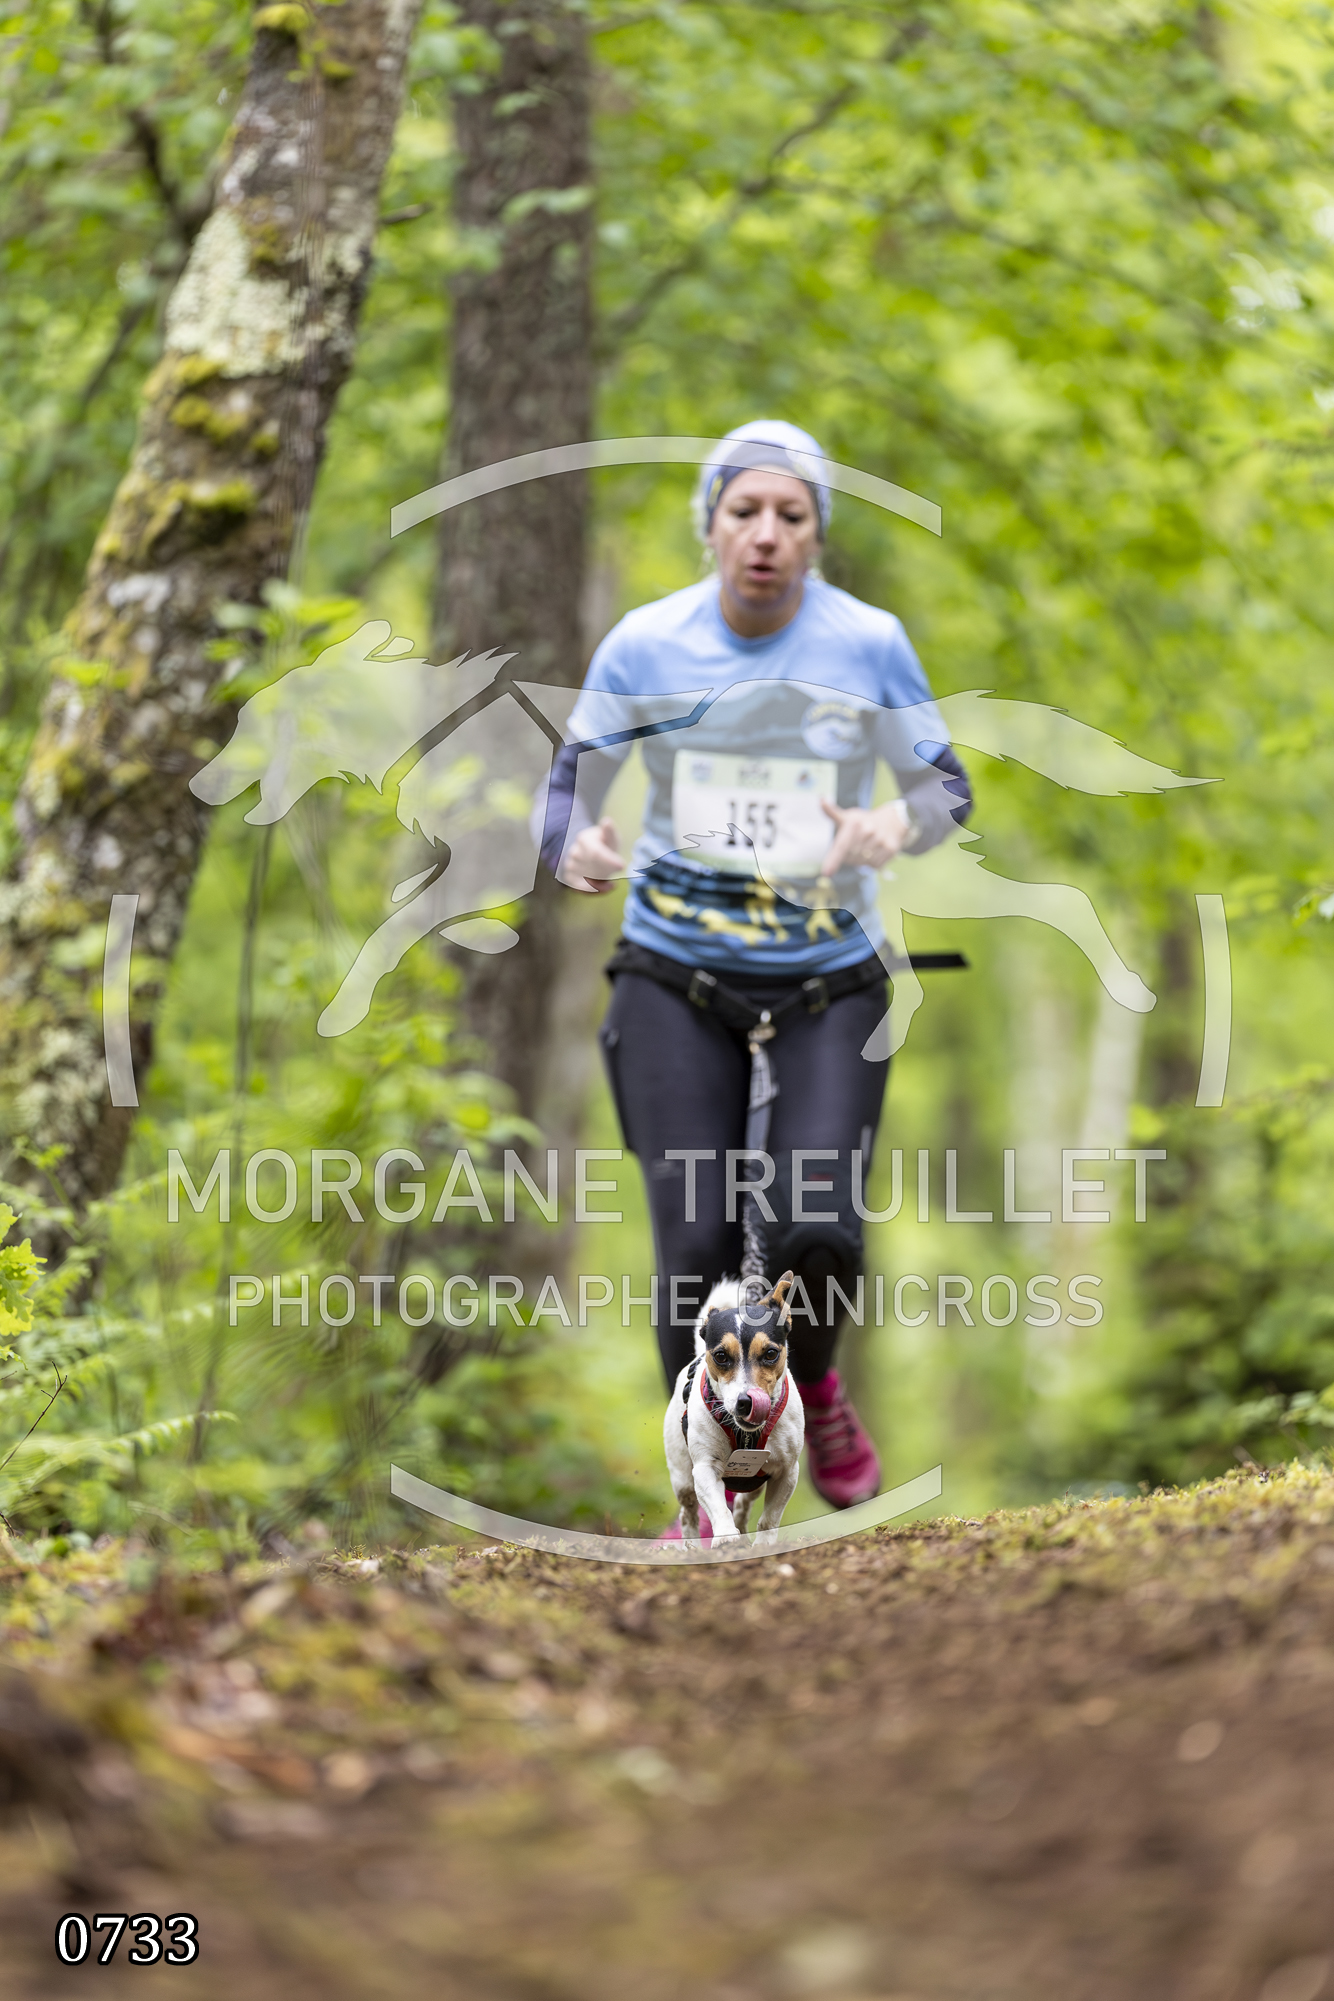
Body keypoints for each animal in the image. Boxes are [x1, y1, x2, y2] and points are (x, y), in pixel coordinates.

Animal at [664, 1271, 805, 1540]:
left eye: (771, 1353)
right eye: (721, 1356)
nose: (746, 1401)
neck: (747, 1435)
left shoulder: (787, 1472)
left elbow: (769, 1520)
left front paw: (764, 1544)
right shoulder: (705, 1469)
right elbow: (719, 1508)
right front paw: (726, 1538)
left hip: (757, 1481)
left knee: (743, 1504)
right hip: (682, 1478)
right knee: (688, 1514)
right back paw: (692, 1544)